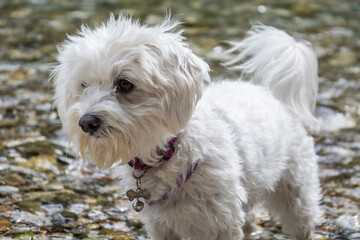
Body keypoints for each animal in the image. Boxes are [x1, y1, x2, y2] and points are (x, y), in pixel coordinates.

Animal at [52, 15, 322, 240]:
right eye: (84, 85)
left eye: (125, 83)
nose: (86, 122)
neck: (168, 153)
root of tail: (272, 95)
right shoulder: (161, 226)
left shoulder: (221, 224)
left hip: (296, 194)